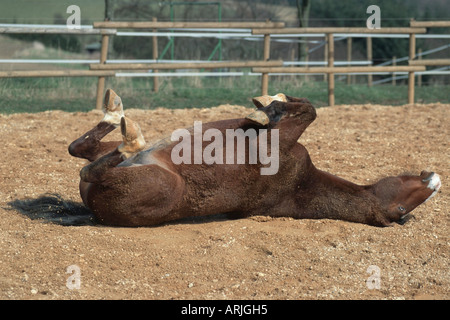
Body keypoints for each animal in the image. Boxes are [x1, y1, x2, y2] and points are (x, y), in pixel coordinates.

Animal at [68, 89, 442, 226]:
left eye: (400, 210)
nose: (436, 180)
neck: (297, 184)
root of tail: (95, 205)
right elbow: (307, 109)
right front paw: (272, 100)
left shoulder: (282, 141)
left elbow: (309, 112)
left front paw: (270, 105)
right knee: (79, 149)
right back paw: (115, 114)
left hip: (158, 182)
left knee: (92, 167)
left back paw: (128, 136)